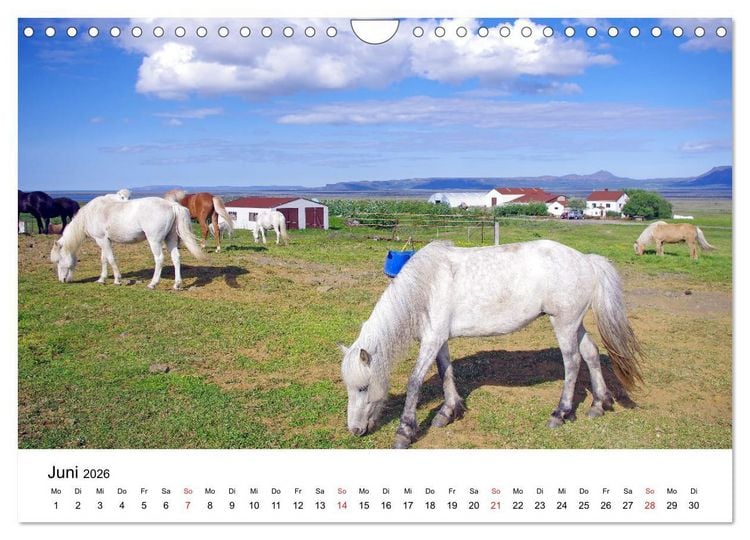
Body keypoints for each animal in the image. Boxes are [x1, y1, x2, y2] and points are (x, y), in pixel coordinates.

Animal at [50, 195, 206, 290]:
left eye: (58, 261)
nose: (62, 280)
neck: (92, 213)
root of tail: (172, 205)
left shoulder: (102, 240)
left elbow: (111, 259)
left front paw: (117, 280)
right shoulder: (103, 241)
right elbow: (103, 259)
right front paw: (101, 279)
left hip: (154, 241)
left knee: (159, 259)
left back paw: (153, 284)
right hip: (171, 239)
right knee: (176, 258)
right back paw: (177, 284)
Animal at [340, 240, 644, 449]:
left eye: (363, 387)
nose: (354, 430)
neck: (425, 286)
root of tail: (587, 260)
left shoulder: (431, 340)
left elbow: (414, 382)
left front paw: (404, 432)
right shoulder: (439, 339)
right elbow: (446, 371)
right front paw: (448, 412)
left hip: (564, 324)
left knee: (572, 363)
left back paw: (561, 413)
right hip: (575, 324)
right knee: (591, 354)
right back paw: (599, 404)